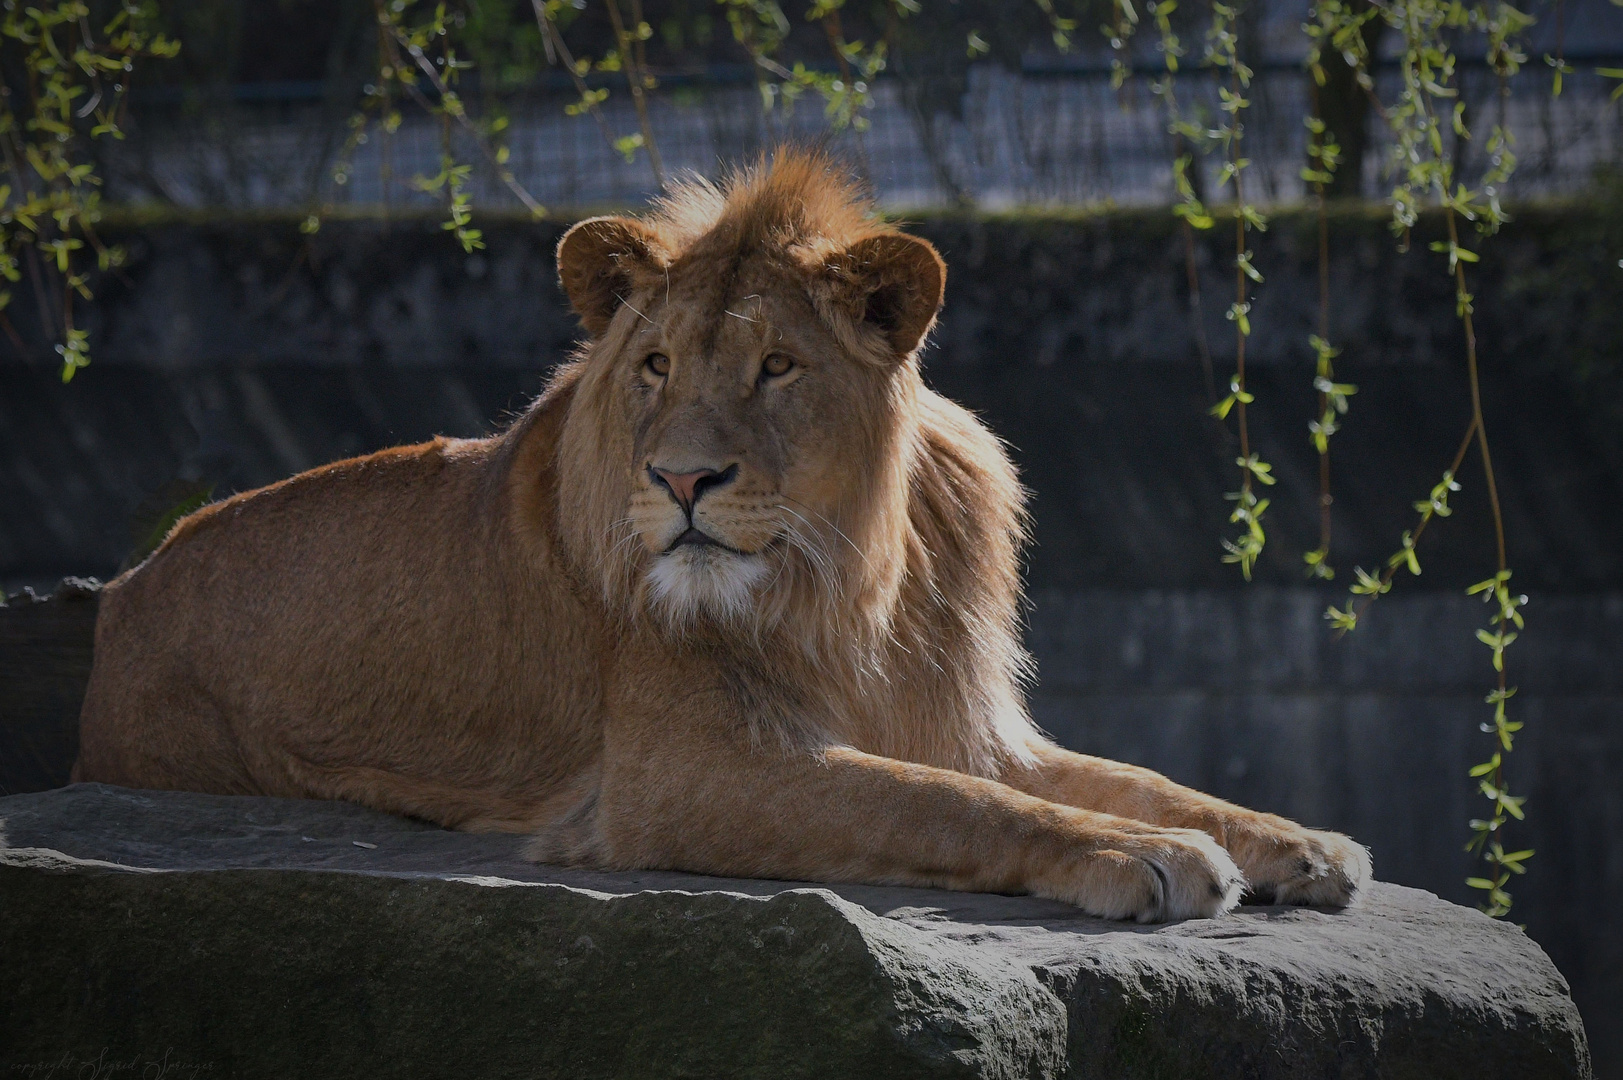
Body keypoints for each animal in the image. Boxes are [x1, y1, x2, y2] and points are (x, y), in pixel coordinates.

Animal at [76, 149, 1369, 915]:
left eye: (778, 367)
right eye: (655, 366)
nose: (682, 478)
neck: (847, 580)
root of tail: (122, 588)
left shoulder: (961, 721)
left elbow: (1135, 776)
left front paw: (1298, 843)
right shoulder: (680, 774)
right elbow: (937, 804)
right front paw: (1147, 856)